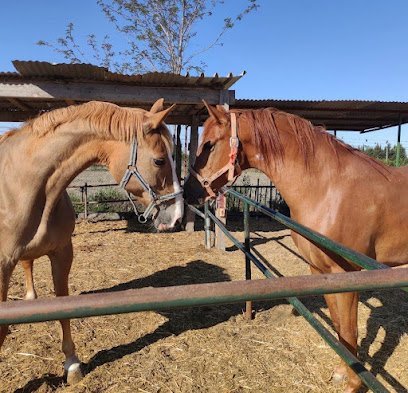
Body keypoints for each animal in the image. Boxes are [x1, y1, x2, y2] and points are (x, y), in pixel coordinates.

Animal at [0, 99, 183, 382]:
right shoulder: (2, 265)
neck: (20, 184)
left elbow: (64, 306)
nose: (177, 217)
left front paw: (72, 364)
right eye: (159, 160)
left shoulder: (63, 253)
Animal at [185, 102, 408, 392]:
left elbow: (350, 330)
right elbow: (339, 328)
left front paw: (354, 384)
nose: (188, 192)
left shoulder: (347, 274)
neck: (329, 190)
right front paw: (341, 372)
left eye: (209, 145)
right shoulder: (321, 272)